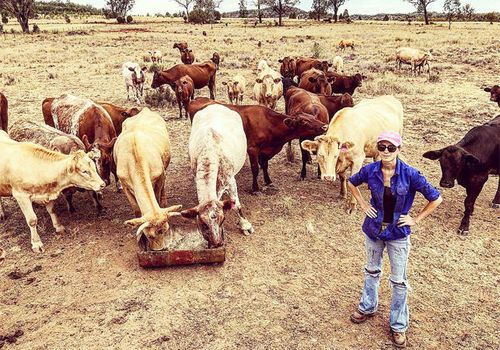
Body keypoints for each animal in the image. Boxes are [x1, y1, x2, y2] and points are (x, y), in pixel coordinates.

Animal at [113, 108, 184, 250]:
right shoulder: (124, 184)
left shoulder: (160, 176)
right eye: (149, 235)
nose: (160, 249)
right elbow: (136, 208)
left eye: (166, 229)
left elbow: (157, 194)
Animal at [180, 103, 254, 246]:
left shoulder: (230, 180)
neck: (210, 151)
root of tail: (215, 105)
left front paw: (245, 225)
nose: (217, 243)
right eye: (203, 224)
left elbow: (236, 204)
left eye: (222, 220)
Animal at [188, 97, 328, 193]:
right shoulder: (252, 149)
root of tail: (199, 99)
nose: (324, 126)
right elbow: (255, 168)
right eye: (304, 122)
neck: (269, 125)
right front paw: (255, 188)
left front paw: (268, 181)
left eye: (312, 117)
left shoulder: (265, 151)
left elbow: (265, 166)